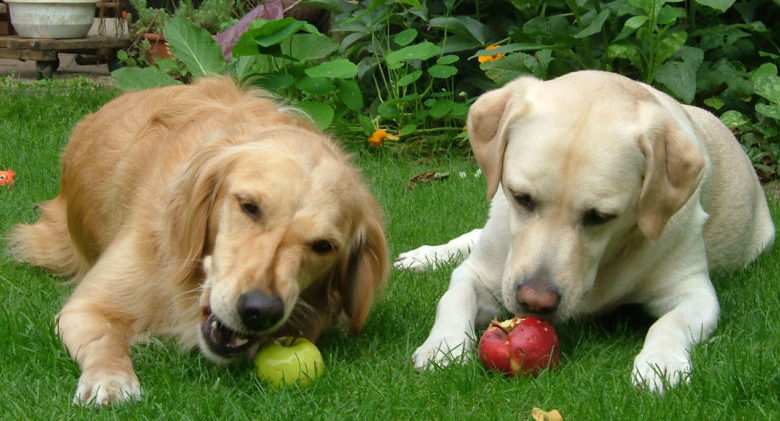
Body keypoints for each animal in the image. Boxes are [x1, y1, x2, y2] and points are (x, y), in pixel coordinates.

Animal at [6, 77, 390, 406]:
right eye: (248, 206)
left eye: (324, 246)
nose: (260, 311)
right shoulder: (85, 306)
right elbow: (105, 339)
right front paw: (111, 379)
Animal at [400, 69, 776, 390]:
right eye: (521, 197)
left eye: (600, 217)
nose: (535, 301)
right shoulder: (480, 271)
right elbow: (453, 297)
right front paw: (443, 347)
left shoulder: (694, 292)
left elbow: (671, 322)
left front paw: (661, 363)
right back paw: (424, 257)